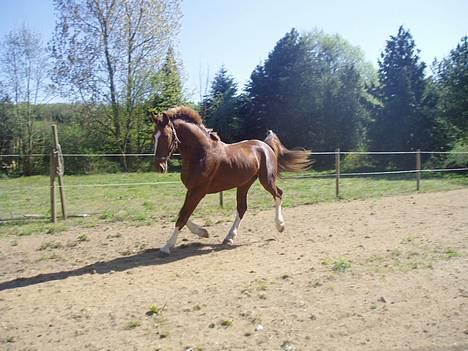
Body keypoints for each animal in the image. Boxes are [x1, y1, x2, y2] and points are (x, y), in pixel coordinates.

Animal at [151, 105, 310, 256]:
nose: (159, 167)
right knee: (242, 208)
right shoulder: (191, 190)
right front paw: (203, 232)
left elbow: (183, 216)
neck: (201, 153)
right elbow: (182, 213)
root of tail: (266, 146)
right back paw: (229, 238)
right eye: (154, 136)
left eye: (166, 136)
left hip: (267, 180)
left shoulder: (199, 191)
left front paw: (166, 247)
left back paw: (280, 225)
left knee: (278, 194)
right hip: (244, 184)